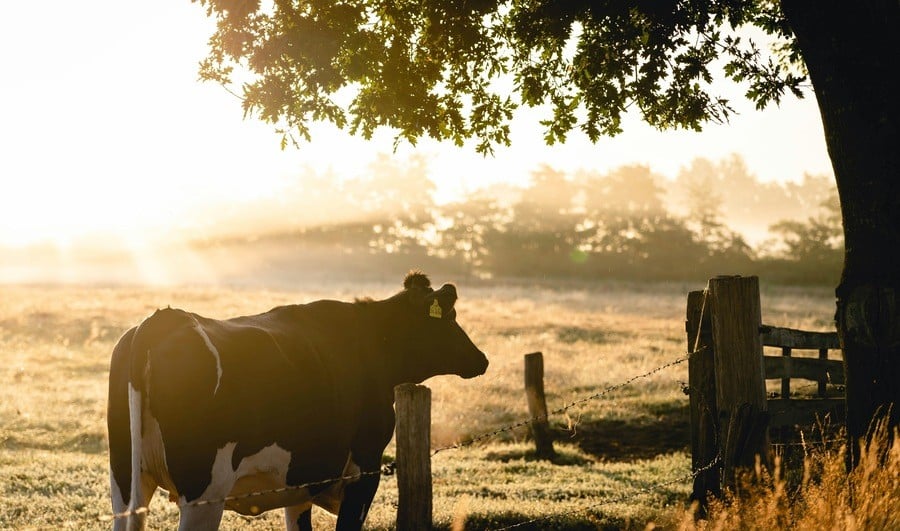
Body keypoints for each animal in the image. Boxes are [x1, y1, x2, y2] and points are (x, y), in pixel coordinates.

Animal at [107, 271, 488, 531]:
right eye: (450, 318)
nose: (481, 359)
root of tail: (163, 319)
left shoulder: (301, 482)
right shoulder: (363, 471)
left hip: (126, 482)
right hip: (203, 492)